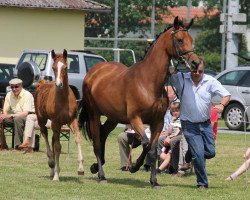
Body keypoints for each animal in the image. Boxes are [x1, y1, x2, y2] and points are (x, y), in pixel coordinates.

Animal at [35, 49, 84, 180]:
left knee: (53, 139)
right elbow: (57, 147)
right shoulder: (56, 122)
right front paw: (56, 175)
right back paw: (52, 165)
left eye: (65, 67)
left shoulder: (72, 120)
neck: (63, 99)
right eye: (53, 67)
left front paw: (81, 169)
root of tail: (41, 83)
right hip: (42, 120)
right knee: (46, 135)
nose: (59, 84)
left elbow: (77, 139)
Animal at [78, 16, 201, 188]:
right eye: (179, 39)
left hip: (113, 117)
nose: (195, 63)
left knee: (103, 135)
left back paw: (97, 166)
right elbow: (146, 144)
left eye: (191, 39)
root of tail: (94, 71)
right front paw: (134, 166)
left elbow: (153, 149)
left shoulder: (157, 122)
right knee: (96, 141)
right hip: (94, 114)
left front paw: (153, 181)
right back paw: (101, 175)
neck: (148, 82)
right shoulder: (135, 119)